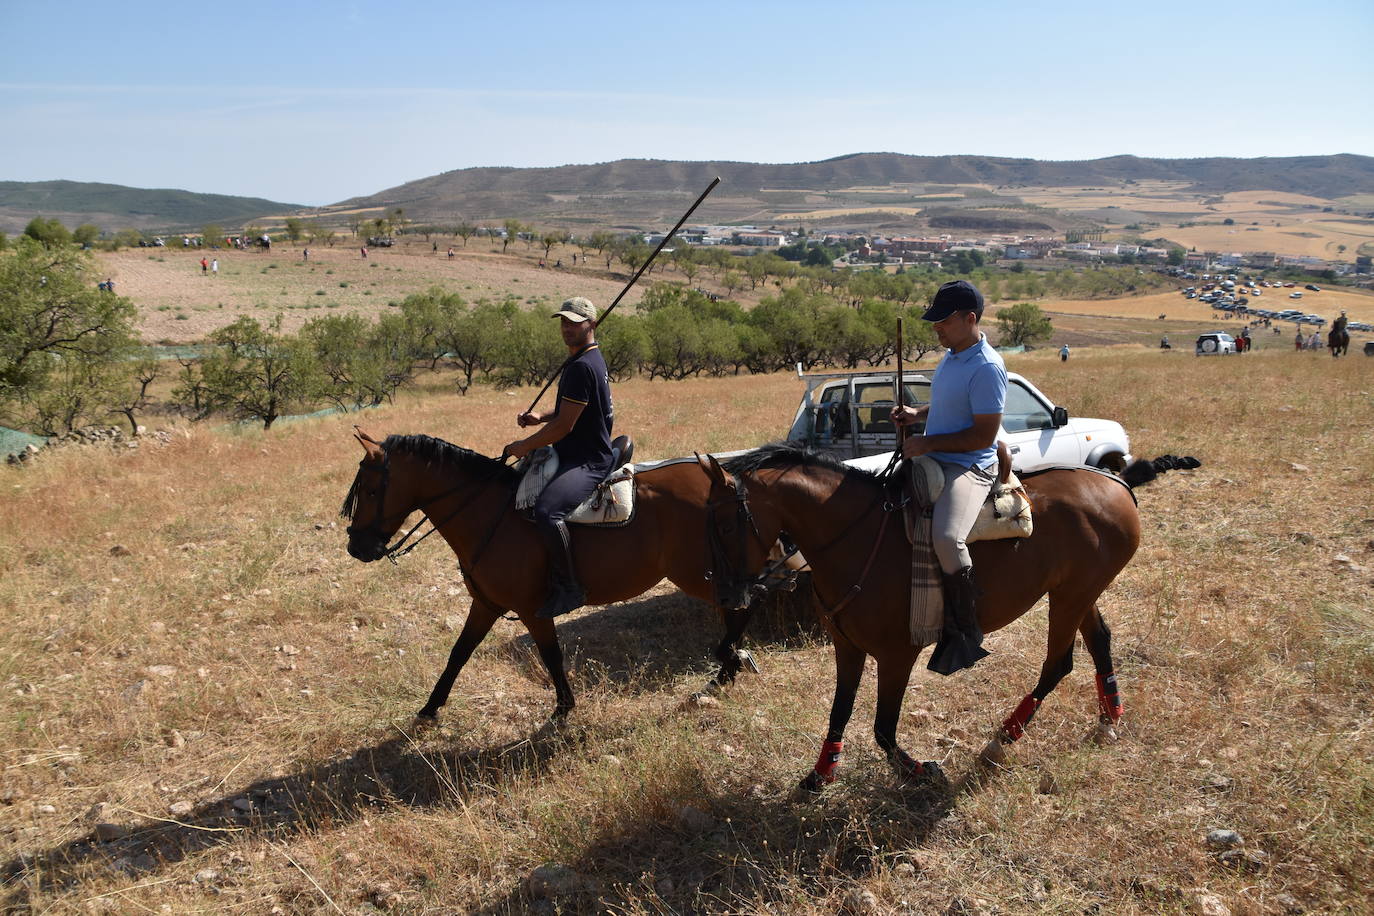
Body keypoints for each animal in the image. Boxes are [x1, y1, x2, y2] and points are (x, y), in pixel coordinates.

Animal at [339, 433, 758, 725]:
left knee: (742, 606)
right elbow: (459, 652)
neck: (487, 514)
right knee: (738, 606)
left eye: (371, 490)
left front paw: (563, 708)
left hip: (696, 573)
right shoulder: (485, 603)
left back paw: (727, 667)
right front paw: (429, 708)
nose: (357, 546)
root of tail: (716, 479)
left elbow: (551, 655)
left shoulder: (532, 610)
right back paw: (729, 667)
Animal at [703, 447, 1176, 791]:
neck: (859, 539)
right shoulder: (847, 646)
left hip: (1070, 597)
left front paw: (917, 769)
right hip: (1077, 592)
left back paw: (1001, 741)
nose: (726, 596)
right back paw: (1109, 721)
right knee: (1100, 642)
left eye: (725, 527)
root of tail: (1114, 481)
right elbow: (840, 711)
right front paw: (821, 773)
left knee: (1058, 664)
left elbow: (883, 727)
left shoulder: (897, 655)